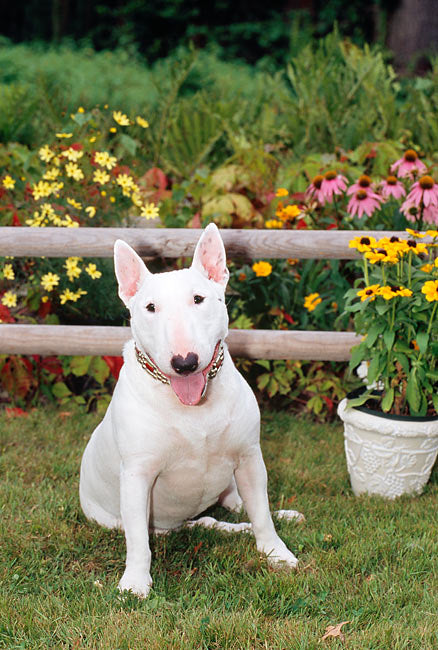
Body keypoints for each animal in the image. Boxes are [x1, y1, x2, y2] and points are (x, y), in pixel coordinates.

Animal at [80, 224, 302, 596]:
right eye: (150, 307)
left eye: (198, 299)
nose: (184, 363)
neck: (193, 407)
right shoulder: (137, 475)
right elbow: (138, 539)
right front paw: (135, 582)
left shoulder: (249, 457)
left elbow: (261, 511)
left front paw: (276, 552)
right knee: (206, 523)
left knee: (236, 505)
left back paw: (276, 515)